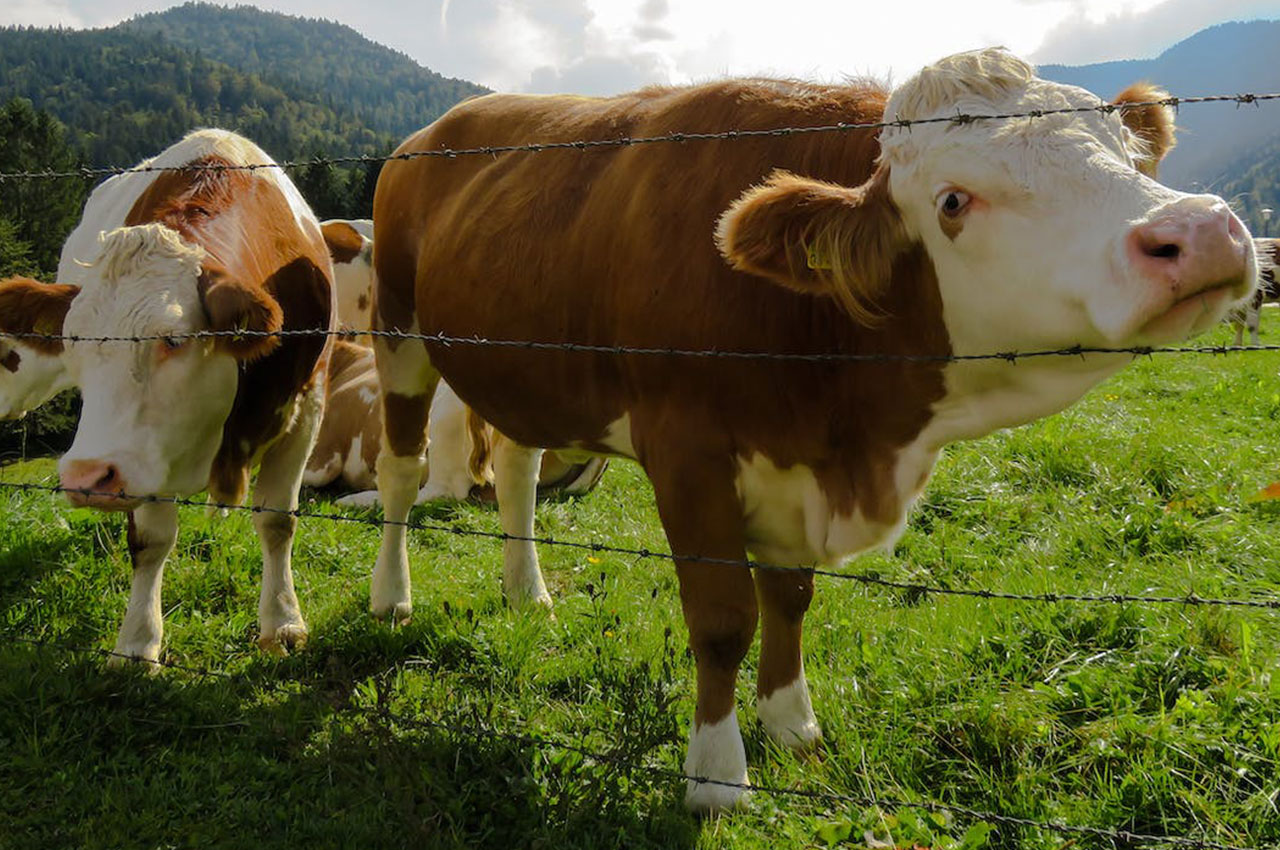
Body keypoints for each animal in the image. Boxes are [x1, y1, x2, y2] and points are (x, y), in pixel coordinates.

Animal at [366, 48, 1254, 819]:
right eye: (952, 202)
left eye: (1131, 158)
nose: (1201, 232)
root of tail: (433, 132)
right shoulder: (686, 449)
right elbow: (723, 617)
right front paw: (716, 776)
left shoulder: (792, 462)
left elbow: (789, 597)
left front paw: (791, 723)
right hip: (396, 330)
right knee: (401, 471)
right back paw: (391, 596)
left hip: (525, 368)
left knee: (517, 465)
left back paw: (528, 593)